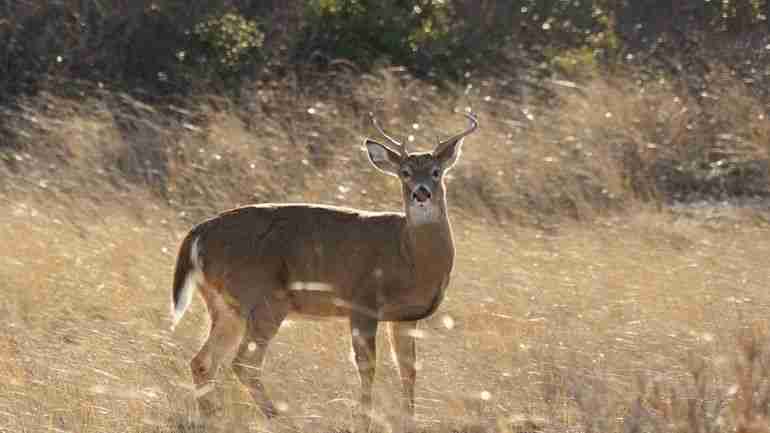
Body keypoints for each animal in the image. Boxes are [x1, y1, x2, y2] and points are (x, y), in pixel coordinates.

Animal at [169, 112, 478, 432]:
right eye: (404, 173)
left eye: (435, 171)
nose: (421, 193)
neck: (410, 256)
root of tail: (197, 233)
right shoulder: (363, 302)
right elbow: (367, 366)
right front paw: (363, 420)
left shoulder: (404, 317)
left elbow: (408, 368)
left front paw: (409, 420)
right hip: (263, 297)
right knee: (242, 362)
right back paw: (279, 418)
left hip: (225, 304)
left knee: (203, 361)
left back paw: (212, 416)